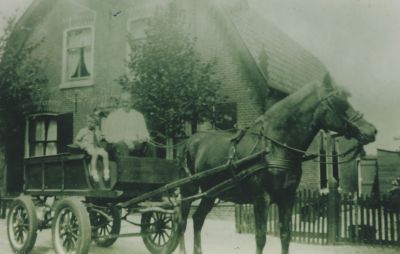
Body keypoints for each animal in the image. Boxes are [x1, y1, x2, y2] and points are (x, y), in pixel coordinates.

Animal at [173, 74, 376, 254]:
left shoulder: (287, 197)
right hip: (189, 190)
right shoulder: (261, 199)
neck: (274, 147)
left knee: (197, 219)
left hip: (211, 194)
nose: (372, 131)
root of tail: (188, 141)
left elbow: (285, 235)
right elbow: (261, 238)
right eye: (340, 103)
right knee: (182, 223)